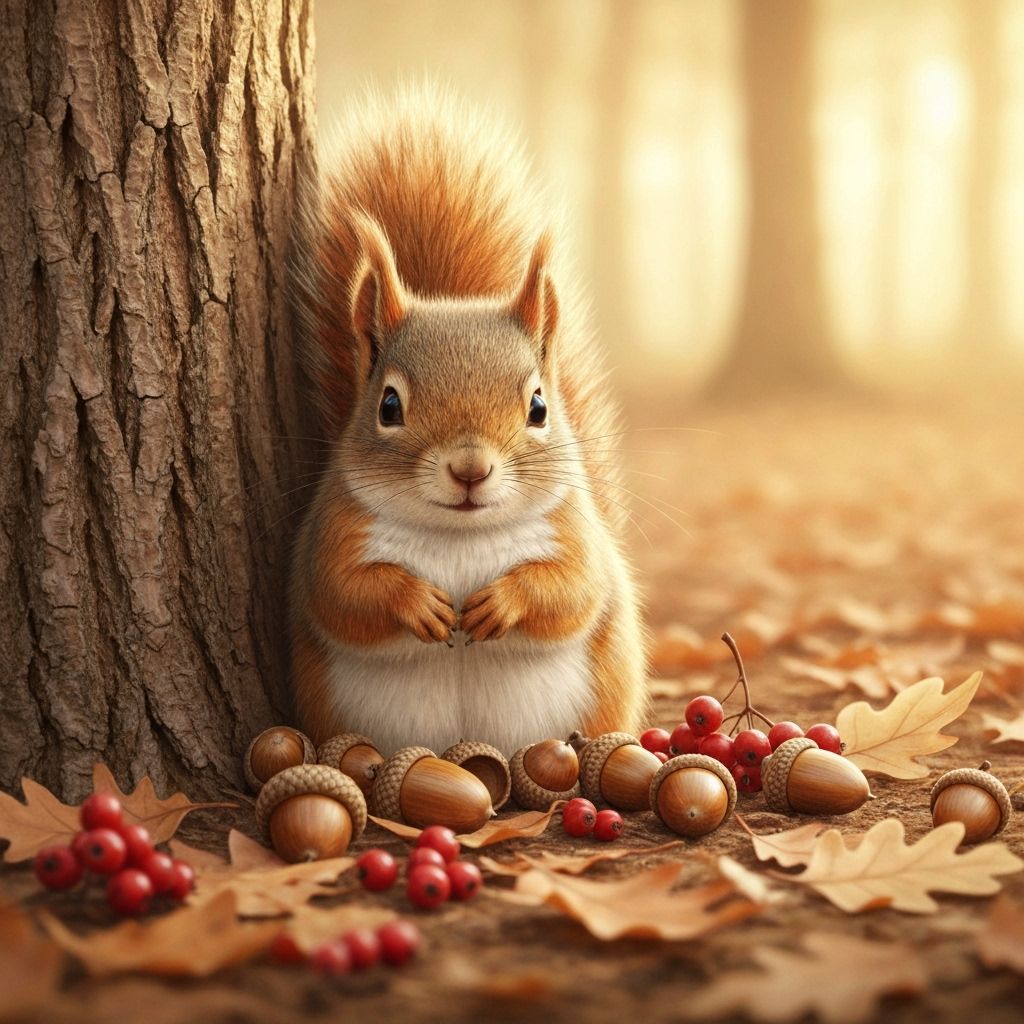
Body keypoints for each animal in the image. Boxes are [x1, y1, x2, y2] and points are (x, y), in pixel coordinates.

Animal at [288, 87, 647, 757]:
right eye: (389, 406)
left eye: (538, 407)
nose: (470, 470)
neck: (460, 535)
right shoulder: (335, 529)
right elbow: (343, 593)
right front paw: (417, 603)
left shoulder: (573, 529)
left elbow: (572, 588)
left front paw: (503, 601)